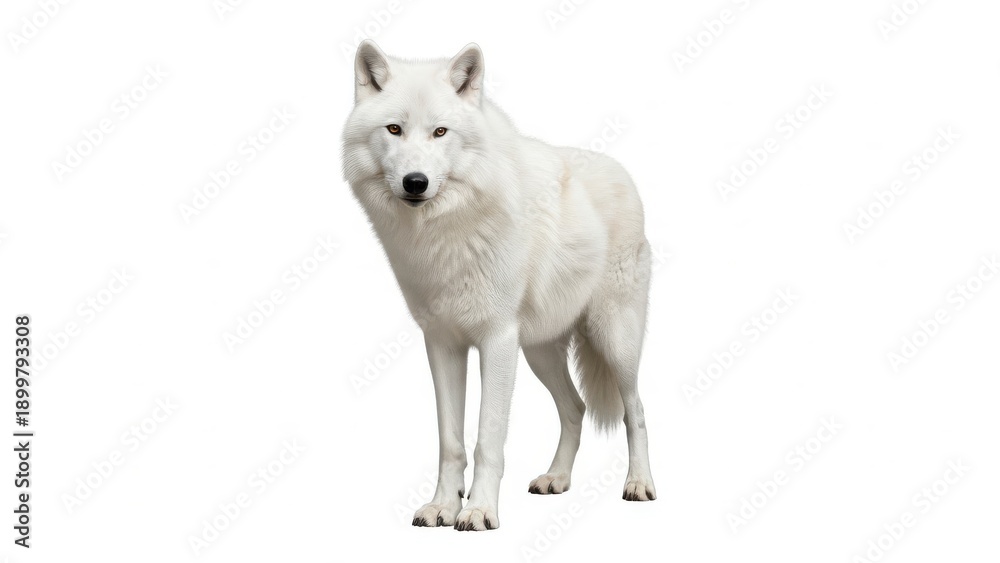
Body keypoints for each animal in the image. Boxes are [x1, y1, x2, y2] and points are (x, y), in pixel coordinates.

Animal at [342, 40, 655, 531]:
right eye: (394, 129)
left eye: (440, 132)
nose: (416, 182)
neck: (445, 232)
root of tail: (623, 172)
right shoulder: (442, 343)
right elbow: (450, 442)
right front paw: (443, 506)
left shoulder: (497, 340)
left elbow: (487, 438)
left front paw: (479, 511)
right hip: (540, 352)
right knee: (576, 408)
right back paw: (556, 478)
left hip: (613, 341)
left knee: (635, 410)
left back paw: (639, 484)